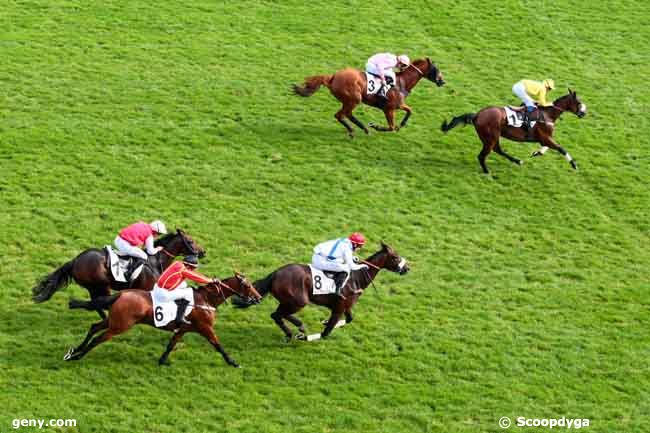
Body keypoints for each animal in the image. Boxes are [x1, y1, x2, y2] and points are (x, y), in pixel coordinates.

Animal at [31, 226, 204, 318]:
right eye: (190, 241)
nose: (203, 252)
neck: (155, 260)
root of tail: (74, 261)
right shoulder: (149, 290)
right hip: (100, 284)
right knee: (99, 302)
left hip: (94, 286)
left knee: (97, 303)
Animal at [64, 272, 260, 366]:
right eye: (248, 285)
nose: (258, 298)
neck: (206, 300)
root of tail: (121, 294)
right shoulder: (205, 328)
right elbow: (218, 345)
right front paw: (233, 362)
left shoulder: (184, 329)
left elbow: (171, 344)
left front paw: (162, 361)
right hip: (120, 326)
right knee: (98, 338)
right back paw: (77, 356)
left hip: (113, 320)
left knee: (94, 327)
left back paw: (75, 350)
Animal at [233, 241, 408, 340]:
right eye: (395, 257)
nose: (407, 268)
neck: (356, 278)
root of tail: (275, 273)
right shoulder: (339, 308)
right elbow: (326, 333)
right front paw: (308, 336)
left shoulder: (345, 307)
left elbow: (349, 319)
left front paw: (324, 321)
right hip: (298, 301)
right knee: (278, 314)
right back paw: (298, 329)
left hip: (288, 301)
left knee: (277, 315)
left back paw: (292, 332)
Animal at [292, 57, 442, 135]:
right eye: (436, 69)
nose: (442, 81)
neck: (402, 82)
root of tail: (332, 77)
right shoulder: (389, 109)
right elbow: (391, 127)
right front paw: (376, 126)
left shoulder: (398, 105)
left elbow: (409, 111)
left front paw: (402, 124)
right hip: (354, 99)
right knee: (340, 115)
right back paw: (355, 130)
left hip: (349, 101)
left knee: (346, 115)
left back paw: (363, 128)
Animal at [438, 88, 584, 173]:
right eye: (578, 103)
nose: (583, 113)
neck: (548, 114)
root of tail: (477, 116)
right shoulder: (545, 137)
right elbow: (561, 148)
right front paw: (574, 165)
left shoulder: (544, 139)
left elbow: (548, 147)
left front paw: (537, 152)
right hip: (490, 137)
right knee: (483, 155)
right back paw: (487, 172)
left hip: (492, 137)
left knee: (497, 150)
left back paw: (517, 161)